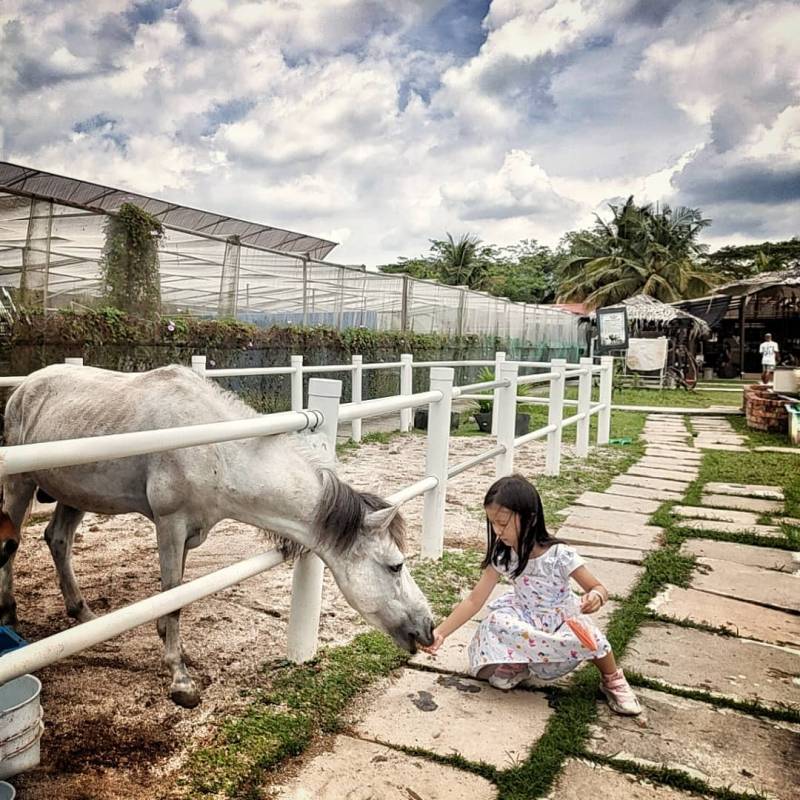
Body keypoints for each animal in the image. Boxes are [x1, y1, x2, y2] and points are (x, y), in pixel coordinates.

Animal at [0, 362, 434, 708]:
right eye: (395, 566)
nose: (427, 628)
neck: (216, 451)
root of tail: (26, 386)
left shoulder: (188, 534)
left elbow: (175, 597)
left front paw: (176, 649)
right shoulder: (169, 524)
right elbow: (173, 599)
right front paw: (180, 680)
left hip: (73, 495)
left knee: (57, 540)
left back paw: (84, 614)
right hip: (20, 486)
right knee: (14, 544)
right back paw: (10, 614)